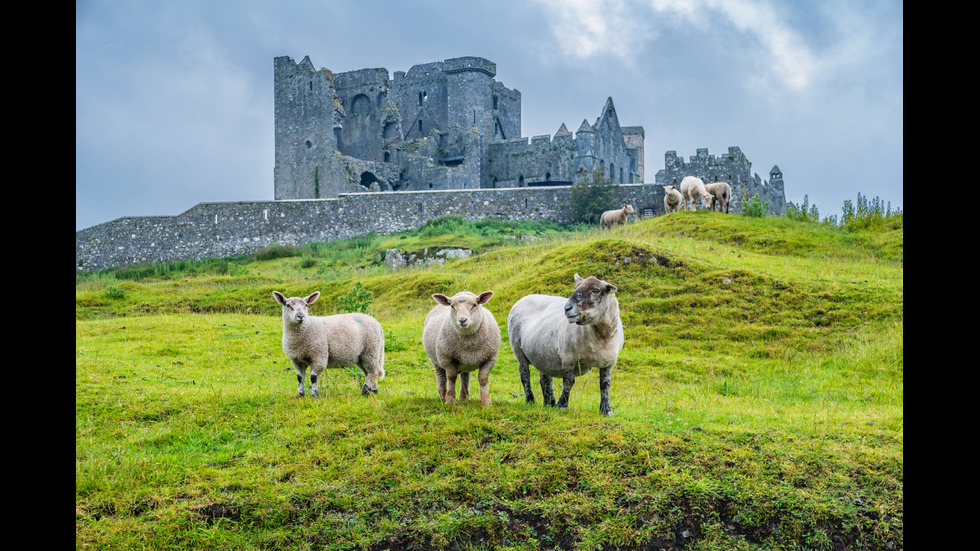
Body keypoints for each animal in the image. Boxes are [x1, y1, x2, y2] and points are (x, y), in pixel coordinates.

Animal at [510, 274, 624, 416]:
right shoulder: (568, 357)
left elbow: (605, 385)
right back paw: (531, 400)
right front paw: (562, 405)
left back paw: (549, 403)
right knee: (525, 376)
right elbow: (569, 382)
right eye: (575, 288)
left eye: (596, 290)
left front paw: (606, 410)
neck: (601, 337)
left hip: (543, 354)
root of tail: (525, 297)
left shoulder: (609, 362)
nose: (567, 308)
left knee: (545, 378)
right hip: (519, 351)